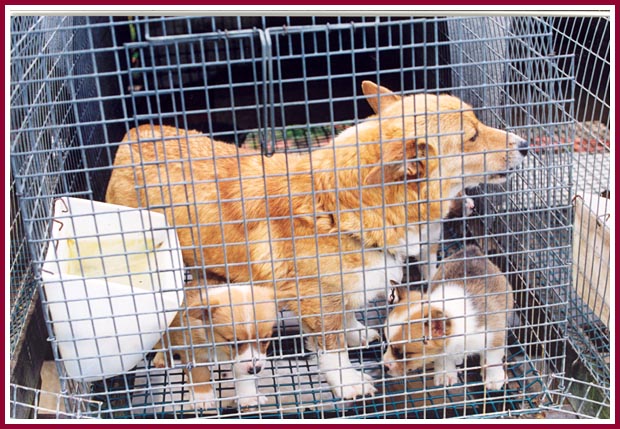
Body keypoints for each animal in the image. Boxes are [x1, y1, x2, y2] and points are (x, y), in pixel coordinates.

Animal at [153, 280, 276, 408]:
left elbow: (244, 378)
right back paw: (161, 358)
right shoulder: (194, 355)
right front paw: (202, 397)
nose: (256, 369)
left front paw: (249, 397)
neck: (218, 347)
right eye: (234, 343)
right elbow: (200, 375)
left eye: (265, 340)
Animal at [382, 244, 512, 392]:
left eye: (403, 354)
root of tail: (472, 249)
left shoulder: (494, 338)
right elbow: (444, 359)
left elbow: (492, 360)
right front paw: (446, 374)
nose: (383, 366)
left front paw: (494, 378)